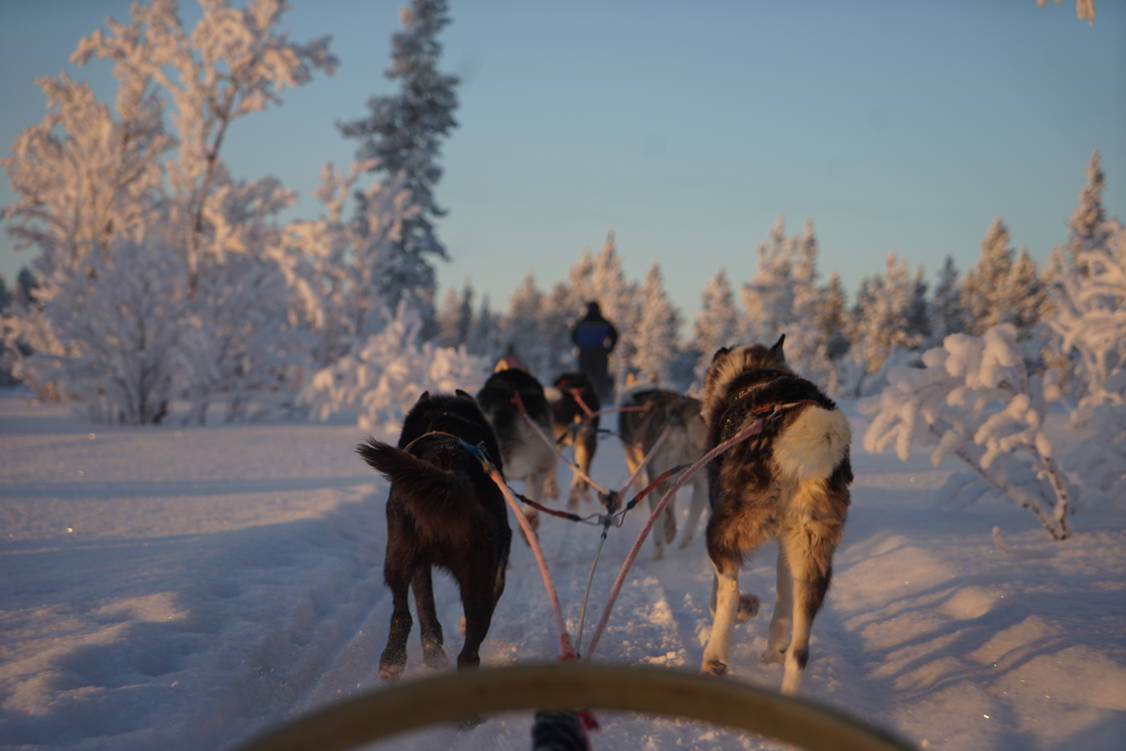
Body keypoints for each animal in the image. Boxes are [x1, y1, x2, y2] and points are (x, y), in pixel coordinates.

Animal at [355, 391, 511, 680]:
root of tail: (447, 461)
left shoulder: (420, 564)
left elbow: (424, 606)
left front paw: (433, 655)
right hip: (474, 577)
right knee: (467, 650)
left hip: (401, 555)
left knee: (402, 614)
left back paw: (392, 661)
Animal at [621, 387, 707, 558]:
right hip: (700, 480)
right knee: (690, 523)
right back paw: (683, 544)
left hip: (656, 480)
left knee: (657, 524)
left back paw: (658, 553)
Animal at [693, 337, 851, 698]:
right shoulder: (786, 541)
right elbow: (783, 592)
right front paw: (773, 646)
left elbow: (717, 594)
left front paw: (744, 610)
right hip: (812, 551)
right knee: (799, 652)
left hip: (724, 527)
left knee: (728, 588)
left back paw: (716, 656)